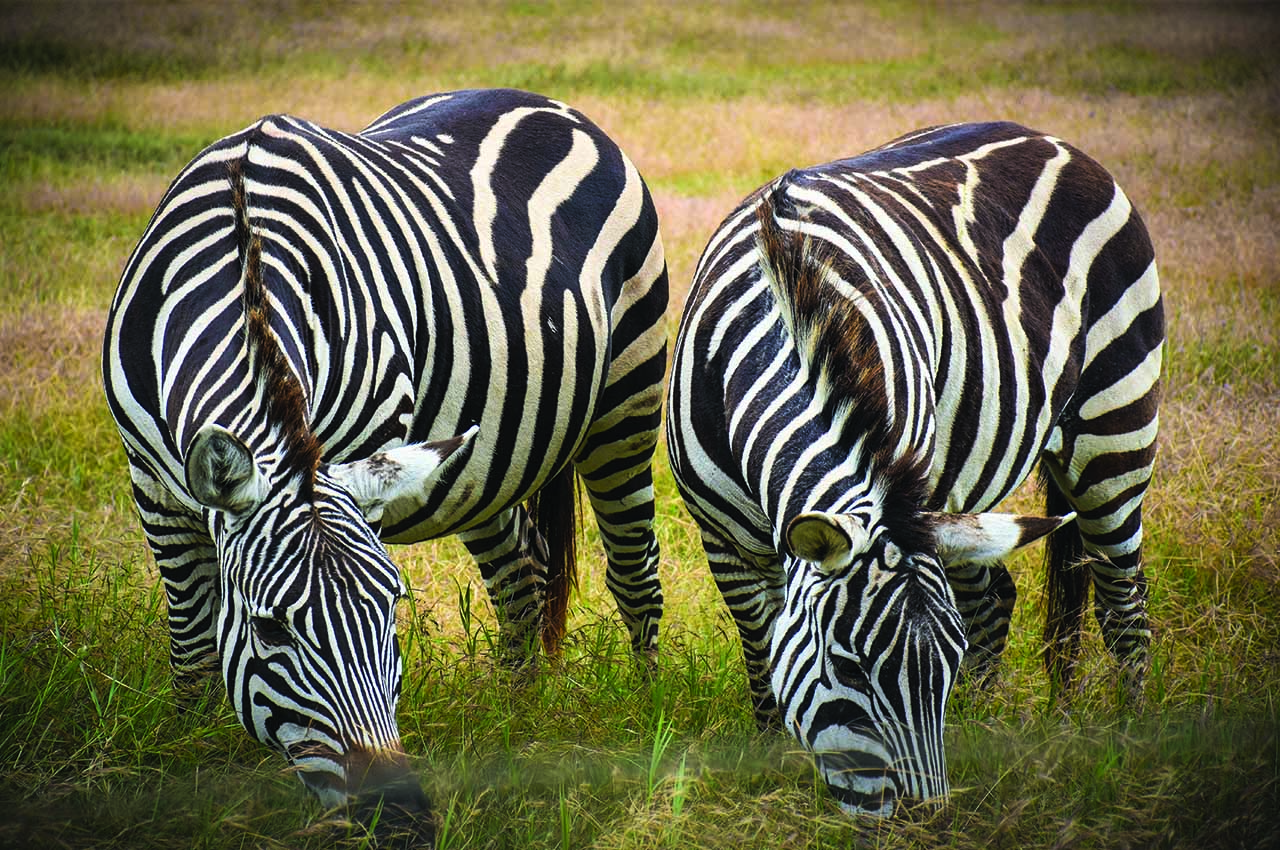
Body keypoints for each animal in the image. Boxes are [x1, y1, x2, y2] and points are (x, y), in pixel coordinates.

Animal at [99, 89, 670, 824]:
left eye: (391, 610)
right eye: (270, 630)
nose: (394, 813)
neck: (242, 261)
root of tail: (547, 102)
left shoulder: (357, 452)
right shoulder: (152, 482)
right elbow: (194, 639)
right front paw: (187, 758)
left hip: (628, 395)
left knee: (633, 572)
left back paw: (649, 715)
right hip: (479, 456)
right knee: (520, 576)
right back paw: (517, 719)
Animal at [665, 122, 1167, 814]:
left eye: (945, 668)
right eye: (848, 668)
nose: (924, 821)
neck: (782, 308)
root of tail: (1051, 140)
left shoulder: (907, 484)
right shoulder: (725, 542)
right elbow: (763, 656)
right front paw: (771, 765)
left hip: (1114, 430)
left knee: (1124, 606)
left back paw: (1127, 738)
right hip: (965, 499)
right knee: (996, 594)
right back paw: (985, 722)